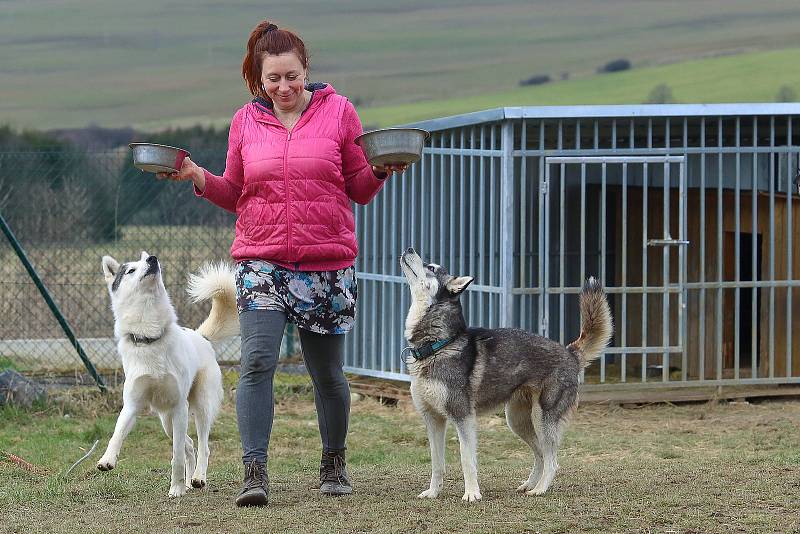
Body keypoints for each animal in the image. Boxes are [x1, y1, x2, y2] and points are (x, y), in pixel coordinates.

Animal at [97, 253, 238, 500]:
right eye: (130, 270)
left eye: (148, 260)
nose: (152, 259)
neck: (149, 336)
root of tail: (201, 336)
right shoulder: (132, 404)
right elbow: (118, 432)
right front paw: (107, 459)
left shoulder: (180, 406)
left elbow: (176, 457)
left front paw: (176, 489)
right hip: (166, 421)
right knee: (189, 445)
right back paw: (190, 482)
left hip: (200, 406)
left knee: (202, 446)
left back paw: (197, 478)